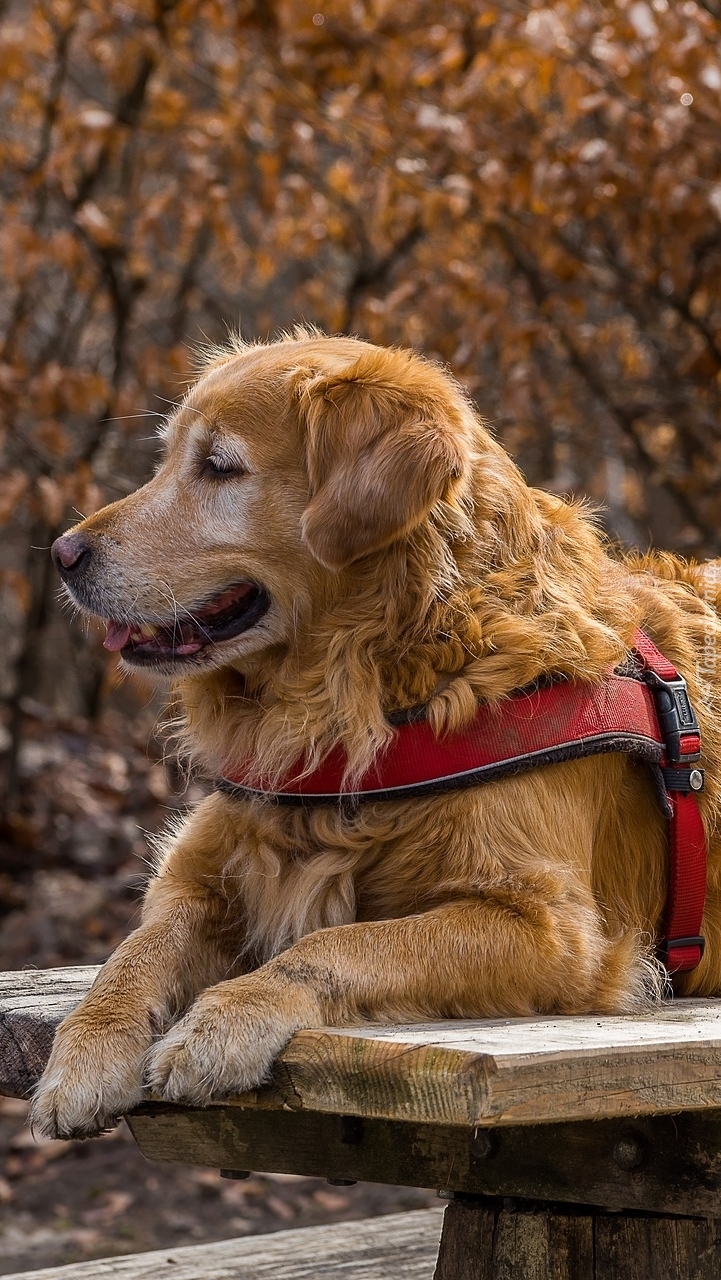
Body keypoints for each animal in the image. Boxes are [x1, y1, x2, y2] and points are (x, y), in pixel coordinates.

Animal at [31, 330, 721, 1141]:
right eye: (167, 457)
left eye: (220, 467)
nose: (62, 555)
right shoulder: (200, 869)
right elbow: (134, 953)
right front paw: (85, 1053)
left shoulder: (555, 931)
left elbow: (335, 944)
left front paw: (224, 1023)